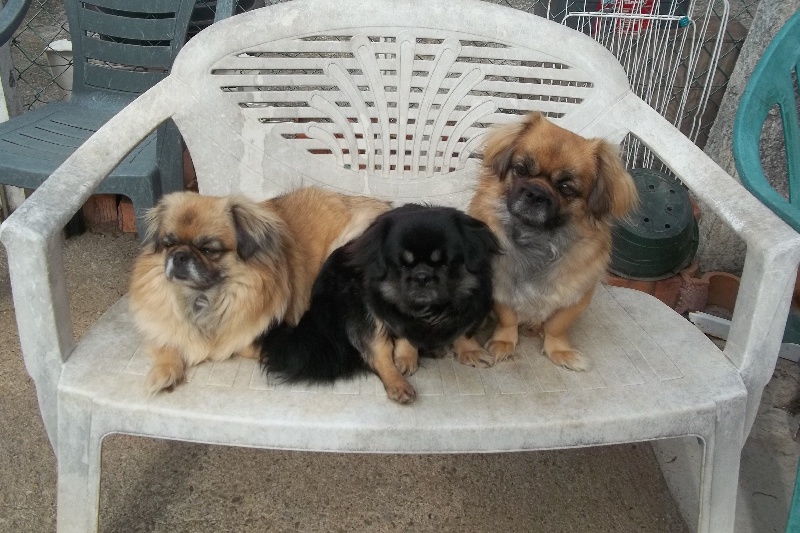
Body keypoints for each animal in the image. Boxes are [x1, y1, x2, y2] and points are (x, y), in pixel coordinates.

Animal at [129, 187, 390, 393]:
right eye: (168, 244)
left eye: (209, 250)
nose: (180, 256)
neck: (205, 298)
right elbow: (169, 341)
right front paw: (164, 371)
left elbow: (239, 344)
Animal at [259, 204, 500, 404]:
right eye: (402, 265)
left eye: (444, 264)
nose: (422, 277)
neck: (428, 311)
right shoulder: (387, 309)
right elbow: (399, 337)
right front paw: (405, 359)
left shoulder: (470, 302)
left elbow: (462, 329)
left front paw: (470, 350)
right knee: (379, 354)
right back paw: (398, 384)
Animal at [467, 111, 637, 370]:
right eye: (521, 170)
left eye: (566, 188)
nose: (536, 193)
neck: (536, 239)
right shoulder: (501, 287)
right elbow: (508, 318)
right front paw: (503, 343)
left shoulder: (577, 296)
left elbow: (557, 326)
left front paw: (560, 351)